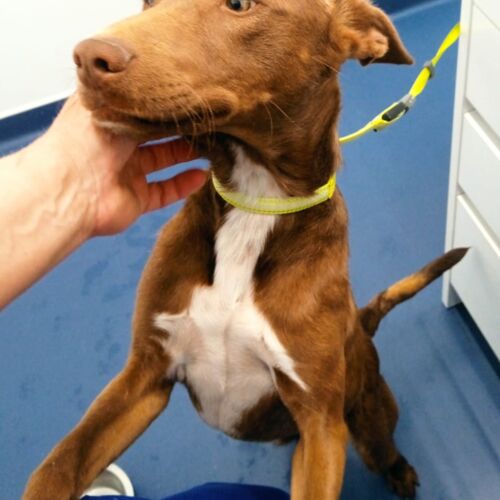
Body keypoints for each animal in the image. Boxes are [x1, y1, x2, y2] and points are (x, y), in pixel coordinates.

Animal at [24, 1, 467, 498]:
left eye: (239, 5)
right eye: (147, 5)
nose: (87, 58)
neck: (256, 201)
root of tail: (361, 325)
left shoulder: (321, 424)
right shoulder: (146, 372)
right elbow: (58, 466)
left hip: (366, 418)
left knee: (383, 449)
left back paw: (400, 472)